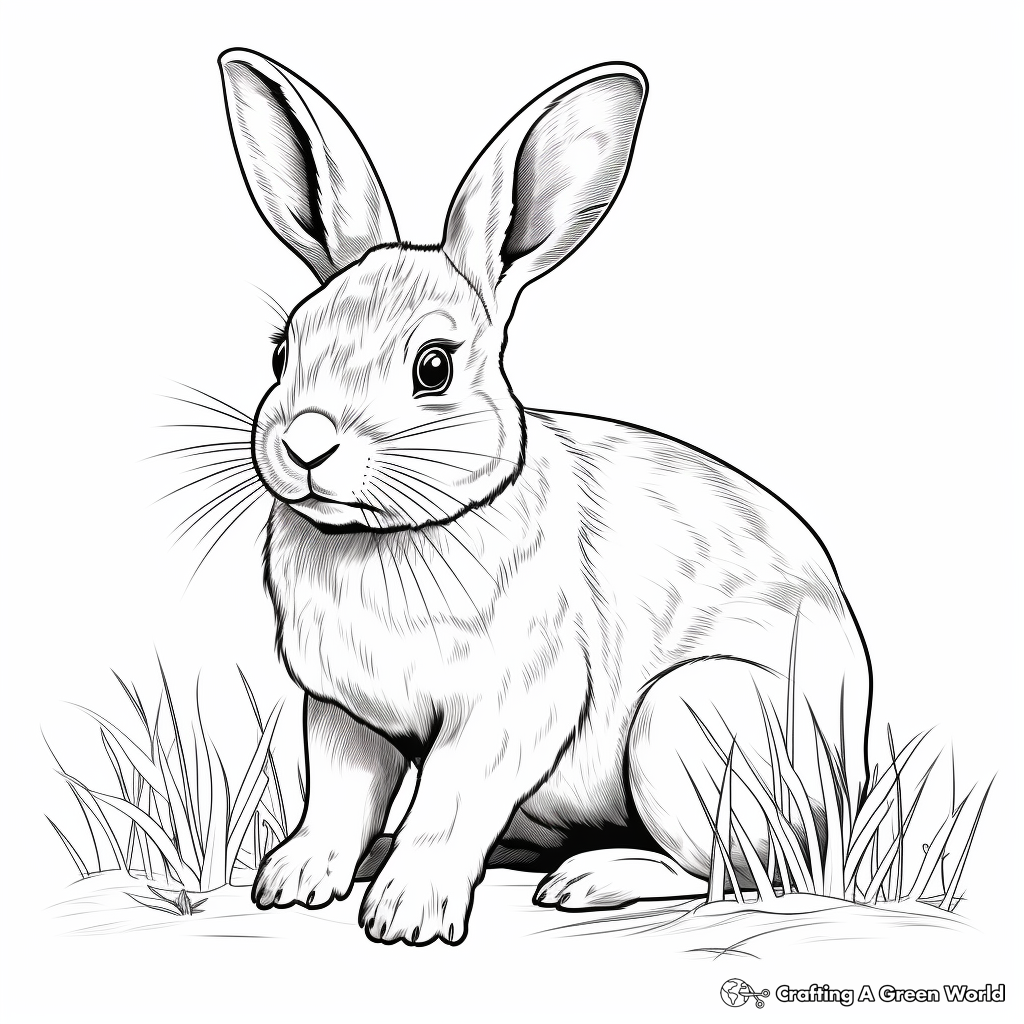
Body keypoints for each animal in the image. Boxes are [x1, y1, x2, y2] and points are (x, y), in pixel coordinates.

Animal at [219, 49, 872, 946]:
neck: (386, 534)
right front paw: (295, 880)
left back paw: (591, 879)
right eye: (282, 350)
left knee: (734, 869)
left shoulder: (513, 706)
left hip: (685, 726)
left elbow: (452, 801)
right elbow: (340, 798)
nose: (306, 444)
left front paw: (409, 915)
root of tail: (847, 794)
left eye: (433, 366)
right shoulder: (347, 713)